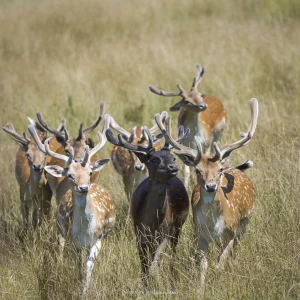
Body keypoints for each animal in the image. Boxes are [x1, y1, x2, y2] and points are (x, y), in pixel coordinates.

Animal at [42, 113, 115, 292]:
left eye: (89, 172)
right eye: (70, 175)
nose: (83, 187)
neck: (85, 231)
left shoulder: (97, 238)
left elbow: (89, 265)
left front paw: (85, 290)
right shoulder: (74, 242)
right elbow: (79, 267)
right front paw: (79, 283)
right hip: (61, 227)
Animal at [106, 113, 190, 278]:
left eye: (173, 157)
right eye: (154, 159)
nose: (173, 167)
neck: (152, 223)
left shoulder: (165, 232)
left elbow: (155, 262)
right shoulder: (139, 234)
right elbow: (144, 266)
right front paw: (145, 281)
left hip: (178, 226)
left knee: (173, 252)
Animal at [155, 99, 258, 290]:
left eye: (219, 170)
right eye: (198, 170)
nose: (210, 186)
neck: (213, 223)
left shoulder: (231, 232)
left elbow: (220, 263)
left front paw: (219, 283)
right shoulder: (200, 235)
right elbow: (203, 264)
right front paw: (200, 289)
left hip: (245, 223)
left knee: (235, 249)